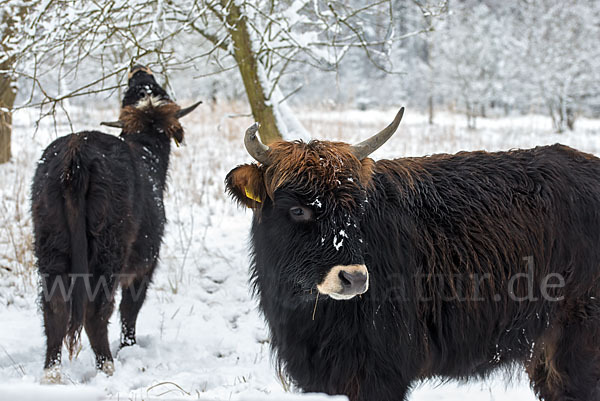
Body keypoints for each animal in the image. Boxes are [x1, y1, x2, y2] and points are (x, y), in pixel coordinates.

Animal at [31, 64, 200, 380]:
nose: (139, 69)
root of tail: (77, 150)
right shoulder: (145, 265)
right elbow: (130, 308)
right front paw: (128, 347)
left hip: (49, 241)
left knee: (54, 309)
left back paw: (51, 373)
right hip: (108, 249)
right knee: (96, 311)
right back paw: (107, 365)